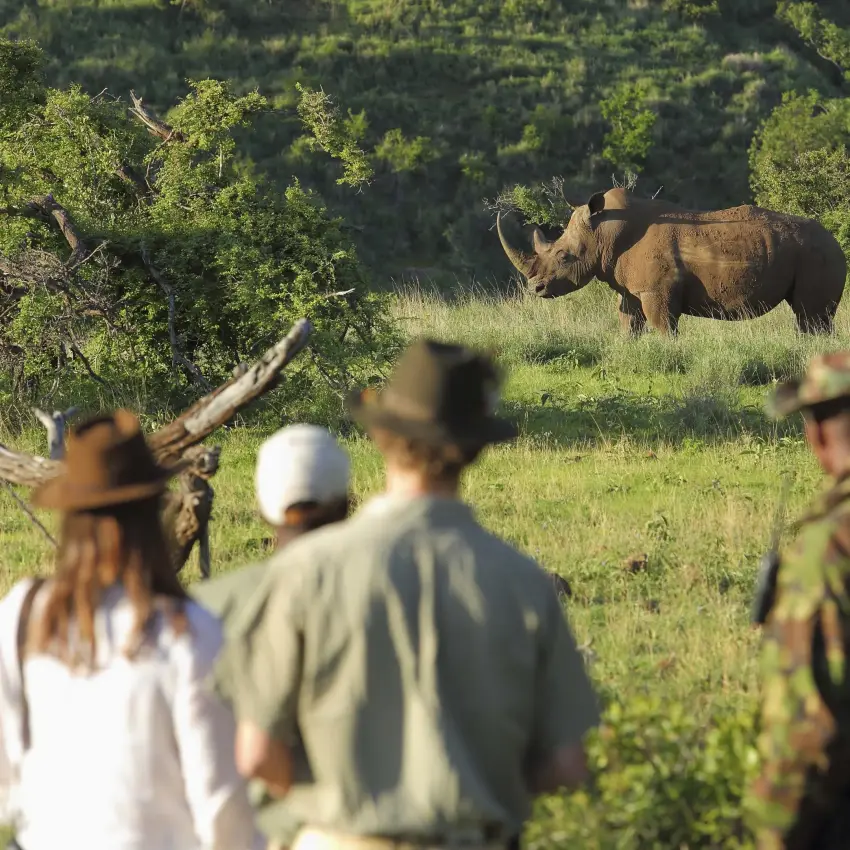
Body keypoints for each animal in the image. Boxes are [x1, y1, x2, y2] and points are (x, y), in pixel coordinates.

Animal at [497, 187, 847, 336]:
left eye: (564, 256)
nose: (536, 288)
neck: (604, 233)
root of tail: (835, 240)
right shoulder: (633, 290)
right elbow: (628, 323)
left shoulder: (657, 291)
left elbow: (663, 327)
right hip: (814, 252)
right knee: (809, 318)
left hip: (819, 254)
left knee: (811, 316)